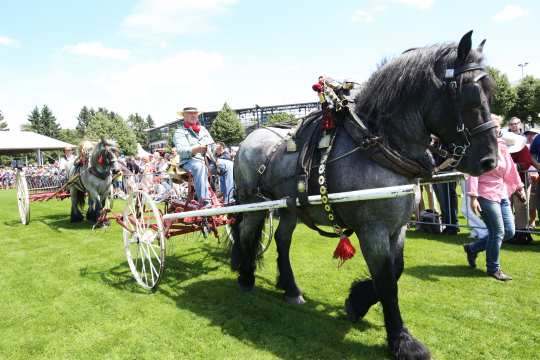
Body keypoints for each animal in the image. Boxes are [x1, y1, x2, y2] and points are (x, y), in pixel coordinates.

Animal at [231, 31, 498, 360]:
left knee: (282, 239)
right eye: (468, 95)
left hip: (291, 207)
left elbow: (396, 270)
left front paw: (357, 302)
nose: (489, 161)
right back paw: (245, 277)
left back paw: (290, 288)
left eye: (491, 91)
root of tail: (249, 138)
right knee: (246, 233)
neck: (379, 146)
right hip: (254, 201)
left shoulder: (397, 227)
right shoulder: (373, 229)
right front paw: (402, 340)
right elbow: (386, 279)